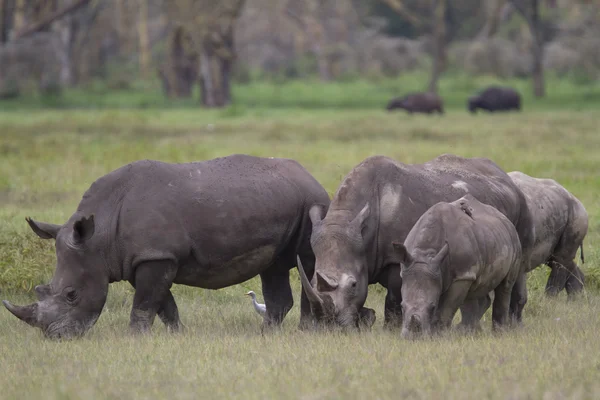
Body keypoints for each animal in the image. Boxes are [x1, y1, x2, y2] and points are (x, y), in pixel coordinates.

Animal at [3, 153, 328, 338]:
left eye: (72, 295)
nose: (55, 337)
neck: (100, 234)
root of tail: (311, 177)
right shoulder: (144, 258)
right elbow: (162, 304)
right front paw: (177, 335)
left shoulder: (156, 256)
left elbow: (145, 304)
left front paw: (135, 339)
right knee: (273, 267)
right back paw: (266, 335)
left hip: (313, 205)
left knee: (307, 262)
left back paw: (305, 332)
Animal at [394, 195, 520, 338]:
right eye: (402, 306)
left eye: (432, 307)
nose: (413, 337)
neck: (425, 252)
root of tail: (505, 219)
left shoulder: (461, 276)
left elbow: (446, 310)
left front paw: (438, 335)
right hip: (488, 239)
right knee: (474, 291)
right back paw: (468, 332)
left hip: (513, 240)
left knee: (505, 286)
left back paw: (497, 333)